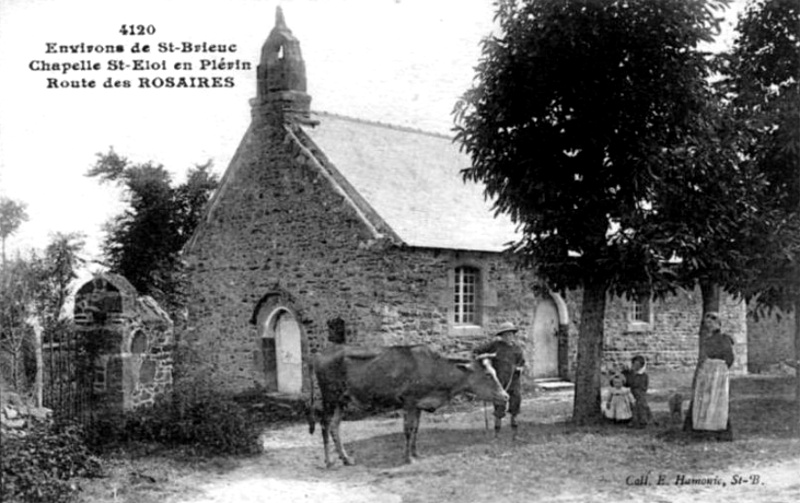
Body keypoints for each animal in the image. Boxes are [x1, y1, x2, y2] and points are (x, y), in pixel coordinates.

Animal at [310, 344, 510, 466]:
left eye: (494, 371)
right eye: (487, 374)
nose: (505, 396)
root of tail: (320, 354)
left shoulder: (419, 404)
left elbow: (415, 430)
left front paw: (415, 454)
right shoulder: (408, 401)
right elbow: (407, 430)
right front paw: (407, 458)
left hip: (342, 400)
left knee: (334, 427)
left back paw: (346, 458)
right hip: (329, 397)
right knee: (325, 424)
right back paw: (328, 461)